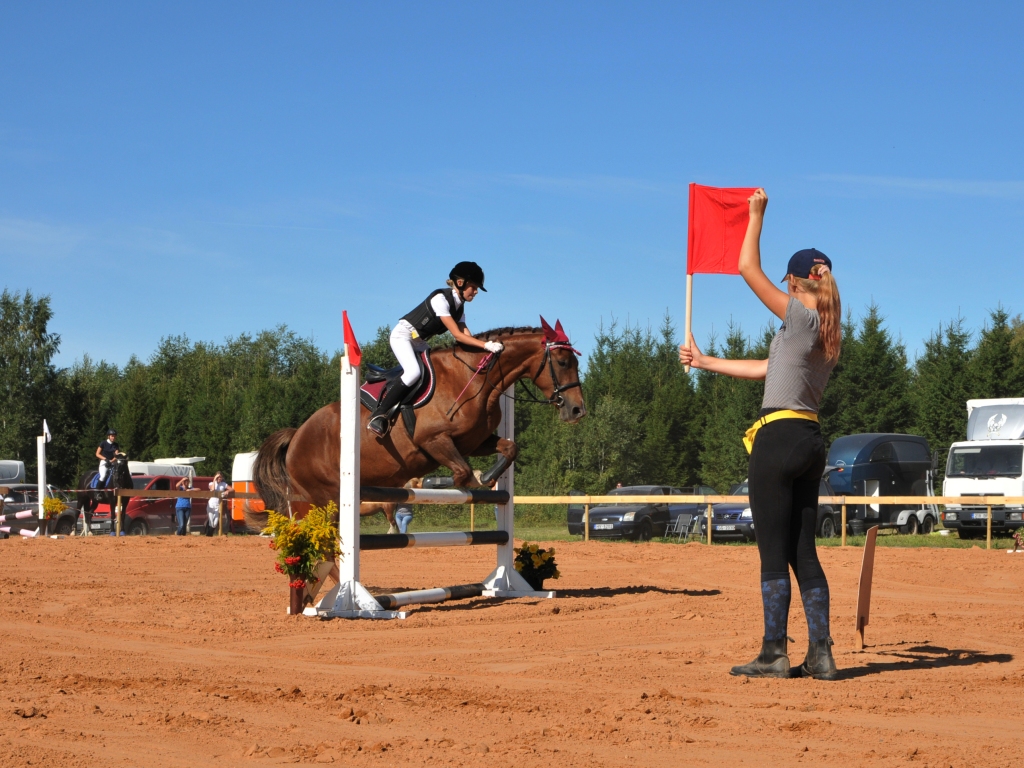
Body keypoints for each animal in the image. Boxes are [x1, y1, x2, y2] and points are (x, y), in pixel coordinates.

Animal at [249, 319, 585, 528]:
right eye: (563, 363)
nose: (577, 410)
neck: (475, 380)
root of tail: (297, 435)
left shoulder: (473, 441)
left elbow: (509, 449)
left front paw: (488, 477)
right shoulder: (433, 440)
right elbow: (461, 474)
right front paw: (466, 480)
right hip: (319, 501)